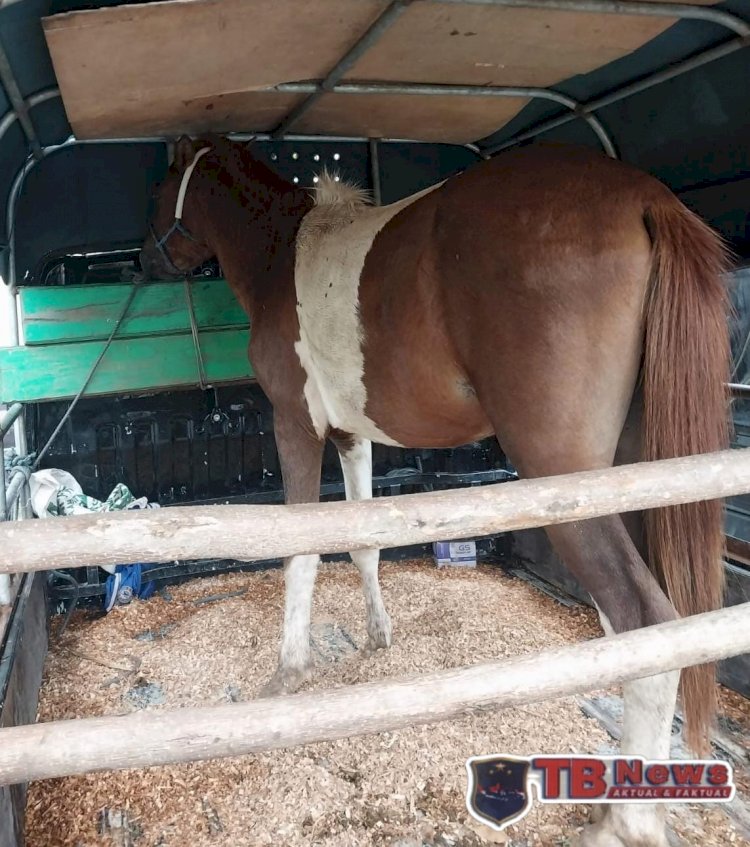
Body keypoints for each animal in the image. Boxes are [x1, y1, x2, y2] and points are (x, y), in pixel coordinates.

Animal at [138, 136, 732, 844]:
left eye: (165, 180)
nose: (144, 258)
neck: (285, 253)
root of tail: (645, 196)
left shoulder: (296, 426)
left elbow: (301, 553)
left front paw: (288, 673)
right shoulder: (351, 435)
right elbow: (362, 543)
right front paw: (377, 637)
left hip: (569, 479)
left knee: (643, 619)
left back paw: (623, 824)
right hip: (631, 478)